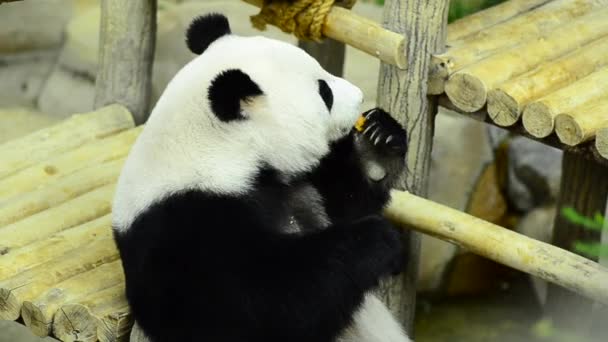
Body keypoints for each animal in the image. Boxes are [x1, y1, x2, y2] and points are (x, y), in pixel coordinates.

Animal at [111, 12, 410, 342]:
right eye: (325, 93)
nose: (359, 95)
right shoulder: (182, 227)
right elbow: (260, 305)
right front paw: (379, 239)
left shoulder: (294, 183)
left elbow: (343, 203)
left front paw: (375, 145)